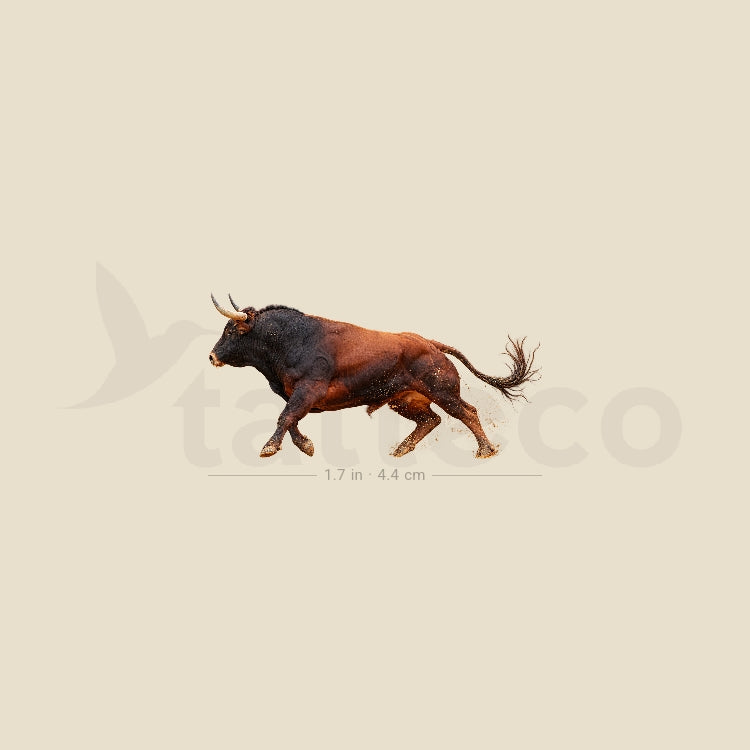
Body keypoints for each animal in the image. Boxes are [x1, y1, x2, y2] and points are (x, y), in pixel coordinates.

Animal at [208, 294, 539, 459]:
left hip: (444, 392)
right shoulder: (298, 396)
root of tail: (429, 343)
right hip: (403, 400)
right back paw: (401, 449)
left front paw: (268, 448)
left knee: (467, 412)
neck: (291, 340)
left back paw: (485, 451)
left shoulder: (308, 390)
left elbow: (285, 417)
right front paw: (306, 446)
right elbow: (291, 421)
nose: (211, 356)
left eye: (230, 331)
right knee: (431, 419)